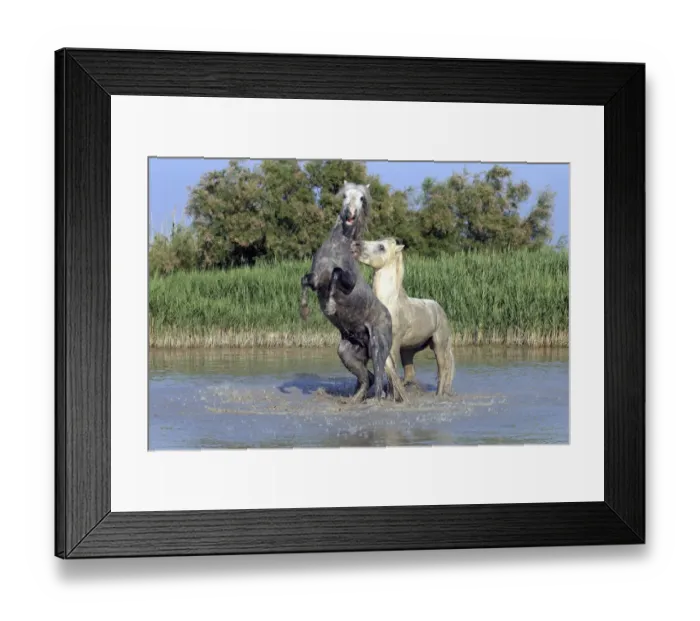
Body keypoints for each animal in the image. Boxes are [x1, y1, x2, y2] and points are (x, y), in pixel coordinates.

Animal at [299, 182, 407, 404]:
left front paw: (331, 306)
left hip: (378, 349)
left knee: (380, 383)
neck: (337, 248)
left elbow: (336, 274)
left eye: (362, 199)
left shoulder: (347, 279)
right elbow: (305, 280)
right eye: (344, 196)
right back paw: (353, 399)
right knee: (369, 378)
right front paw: (304, 310)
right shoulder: (316, 280)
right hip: (347, 352)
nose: (350, 214)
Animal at [353, 238, 455, 396]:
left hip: (439, 345)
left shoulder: (393, 343)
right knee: (410, 374)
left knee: (443, 370)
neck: (389, 304)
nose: (356, 245)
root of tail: (439, 309)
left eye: (381, 247)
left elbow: (391, 370)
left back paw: (438, 395)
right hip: (408, 350)